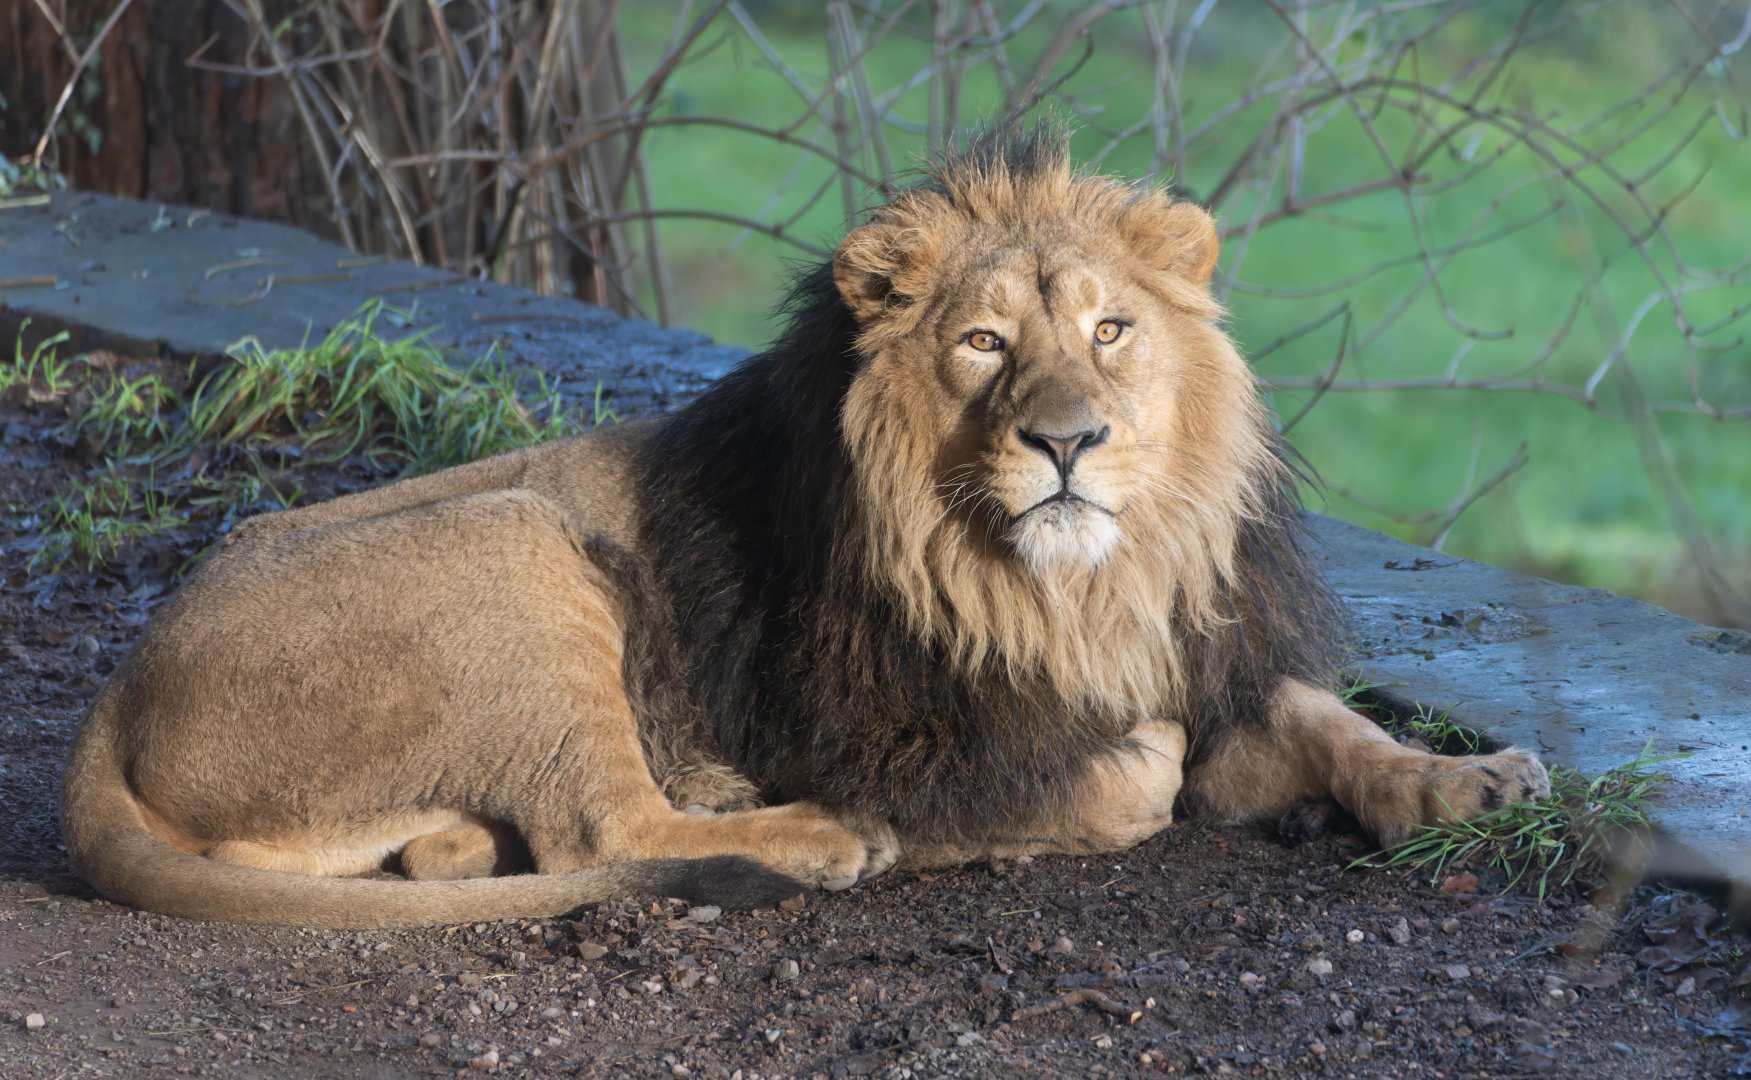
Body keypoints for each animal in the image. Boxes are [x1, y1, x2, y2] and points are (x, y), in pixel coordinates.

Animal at [60, 131, 1549, 928]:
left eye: (1111, 331)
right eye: (982, 345)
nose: (1066, 441)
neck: (1074, 590)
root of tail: (122, 693)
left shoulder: (1198, 646)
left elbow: (1319, 717)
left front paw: (1465, 783)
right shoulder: (906, 737)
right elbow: (1125, 777)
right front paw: (1058, 797)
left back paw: (460, 849)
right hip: (517, 542)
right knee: (602, 831)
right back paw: (817, 843)